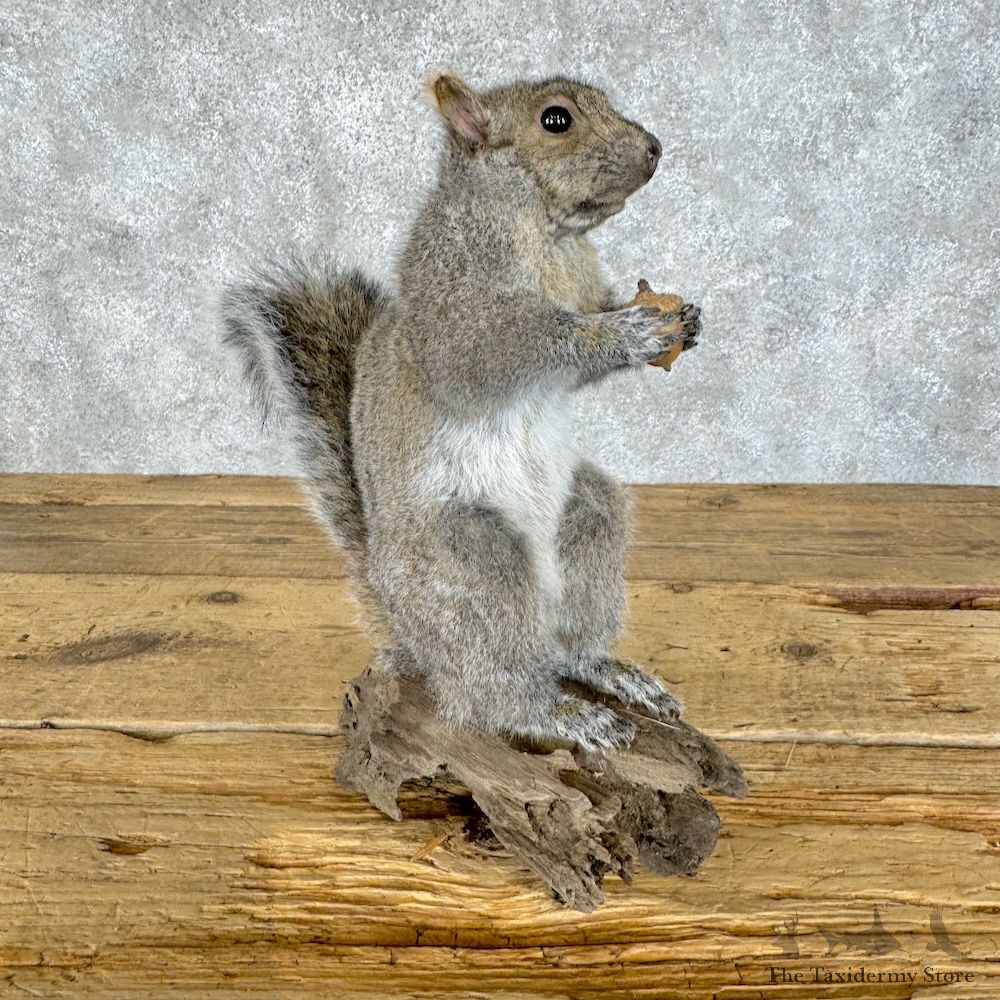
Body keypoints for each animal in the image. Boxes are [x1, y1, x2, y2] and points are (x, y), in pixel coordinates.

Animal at [222, 72, 700, 752]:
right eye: (557, 120)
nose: (655, 147)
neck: (550, 236)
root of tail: (408, 632)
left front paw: (682, 319)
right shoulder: (455, 306)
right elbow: (497, 356)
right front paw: (626, 332)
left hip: (586, 525)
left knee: (570, 639)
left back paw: (610, 672)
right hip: (473, 563)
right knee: (492, 691)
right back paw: (558, 714)